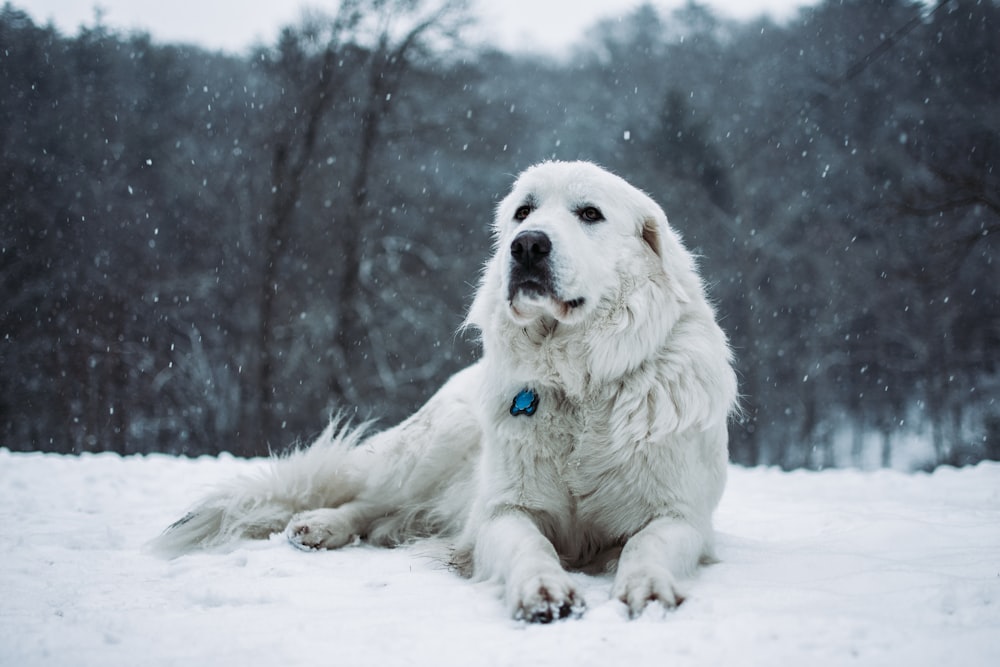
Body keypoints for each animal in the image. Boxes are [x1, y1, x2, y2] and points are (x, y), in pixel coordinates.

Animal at [152, 162, 740, 628]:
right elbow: (531, 545)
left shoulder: (679, 515)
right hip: (435, 444)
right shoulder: (505, 510)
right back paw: (321, 525)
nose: (527, 245)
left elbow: (647, 543)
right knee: (364, 498)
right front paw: (542, 590)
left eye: (590, 214)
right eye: (523, 212)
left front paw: (649, 588)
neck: (580, 381)